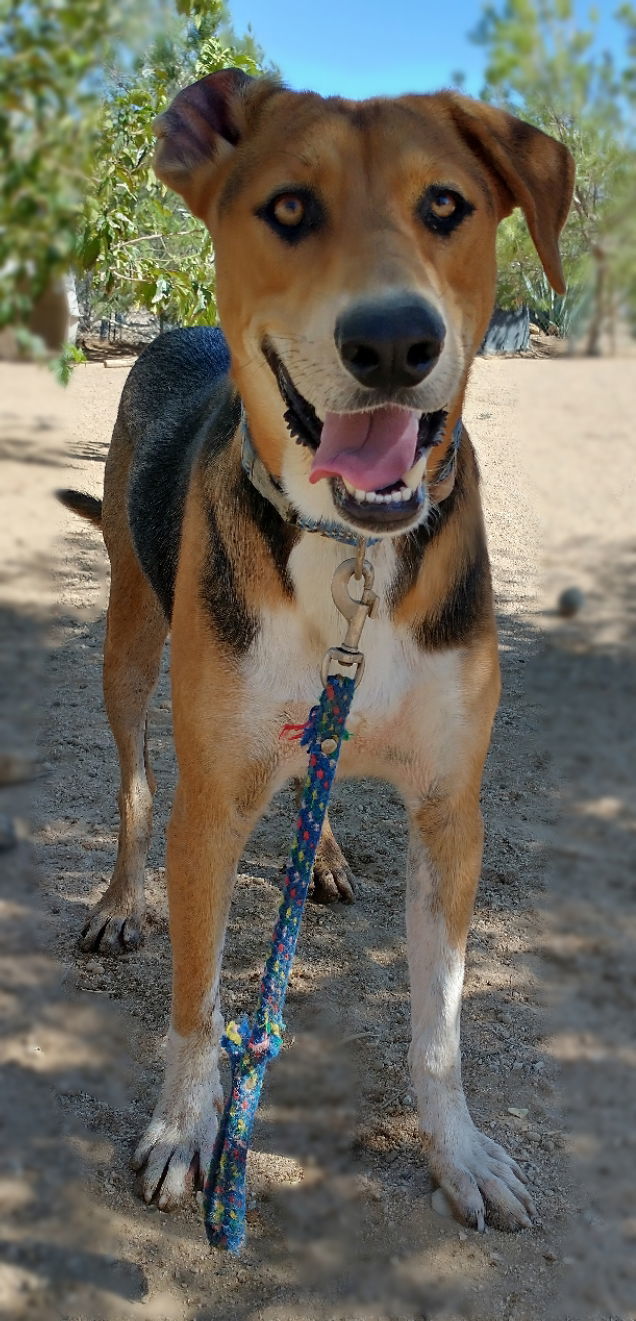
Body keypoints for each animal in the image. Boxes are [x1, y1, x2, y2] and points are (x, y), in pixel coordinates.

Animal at [59, 69, 573, 1225]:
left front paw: (459, 1153)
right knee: (132, 782)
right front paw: (184, 1129)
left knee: (313, 771)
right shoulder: (210, 809)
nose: (391, 344)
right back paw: (119, 902)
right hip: (130, 637)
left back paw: (325, 850)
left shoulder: (451, 814)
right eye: (289, 208)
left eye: (446, 205)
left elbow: (440, 1030)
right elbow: (198, 1002)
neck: (351, 558)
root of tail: (174, 330)